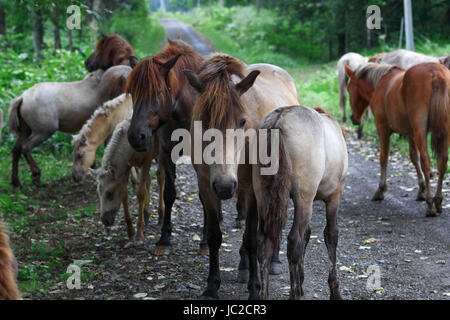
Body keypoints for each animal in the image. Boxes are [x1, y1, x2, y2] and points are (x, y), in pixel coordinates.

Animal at [125, 38, 205, 252]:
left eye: (158, 92)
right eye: (132, 93)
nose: (136, 137)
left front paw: (206, 238)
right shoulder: (167, 151)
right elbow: (169, 192)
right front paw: (165, 234)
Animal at [185, 53, 300, 300]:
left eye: (242, 121)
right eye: (202, 121)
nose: (225, 186)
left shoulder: (252, 190)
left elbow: (252, 240)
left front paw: (255, 289)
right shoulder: (206, 187)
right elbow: (215, 236)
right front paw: (212, 286)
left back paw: (273, 261)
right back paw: (244, 265)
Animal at [253, 105, 348, 300]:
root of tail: (278, 121)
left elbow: (307, 233)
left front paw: (302, 280)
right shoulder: (335, 195)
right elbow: (331, 235)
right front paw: (334, 290)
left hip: (262, 197)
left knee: (263, 244)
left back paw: (265, 294)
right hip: (304, 198)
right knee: (294, 241)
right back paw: (294, 293)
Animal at [346, 62, 448, 218]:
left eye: (348, 89)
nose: (353, 118)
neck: (381, 82)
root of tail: (435, 72)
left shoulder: (383, 129)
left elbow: (383, 158)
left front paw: (380, 190)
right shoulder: (410, 133)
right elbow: (413, 157)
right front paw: (421, 190)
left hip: (421, 130)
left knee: (426, 161)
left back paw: (430, 205)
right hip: (443, 132)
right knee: (442, 161)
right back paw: (438, 201)